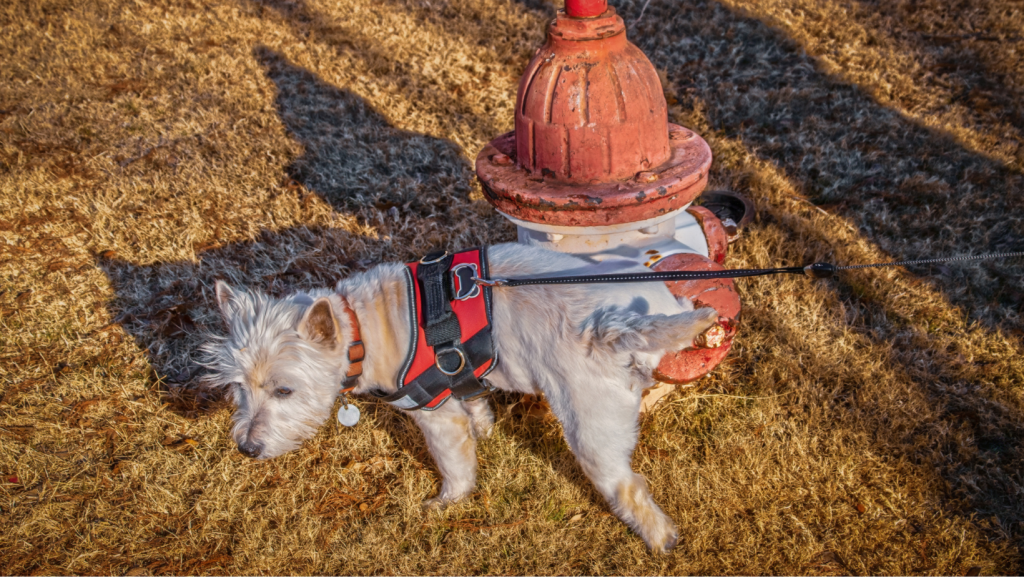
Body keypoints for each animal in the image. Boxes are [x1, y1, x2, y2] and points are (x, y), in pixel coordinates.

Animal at [203, 241, 720, 553]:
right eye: (237, 386)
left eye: (284, 389)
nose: (246, 448)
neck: (363, 326)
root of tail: (614, 324)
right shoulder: (464, 382)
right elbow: (476, 406)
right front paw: (485, 427)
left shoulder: (432, 412)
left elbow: (455, 464)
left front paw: (445, 502)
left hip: (590, 429)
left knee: (625, 485)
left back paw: (660, 538)